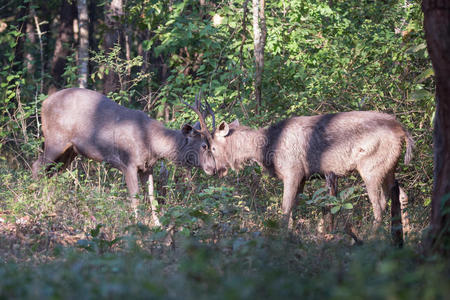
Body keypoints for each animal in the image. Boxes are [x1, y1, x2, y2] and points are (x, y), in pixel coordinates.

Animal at [32, 88, 216, 221]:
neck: (151, 142)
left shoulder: (147, 168)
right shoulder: (128, 164)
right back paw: (36, 203)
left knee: (51, 173)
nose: (213, 169)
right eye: (204, 145)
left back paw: (48, 205)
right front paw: (138, 227)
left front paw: (158, 226)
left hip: (70, 151)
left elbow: (153, 198)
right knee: (37, 167)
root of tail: (44, 103)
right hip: (55, 140)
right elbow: (135, 199)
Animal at [209, 111, 414, 243]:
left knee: (379, 205)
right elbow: (295, 208)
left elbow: (285, 208)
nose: (212, 170)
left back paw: (371, 239)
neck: (266, 149)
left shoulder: (292, 171)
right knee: (401, 195)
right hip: (388, 167)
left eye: (211, 147)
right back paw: (406, 235)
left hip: (371, 167)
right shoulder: (303, 177)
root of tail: (401, 129)